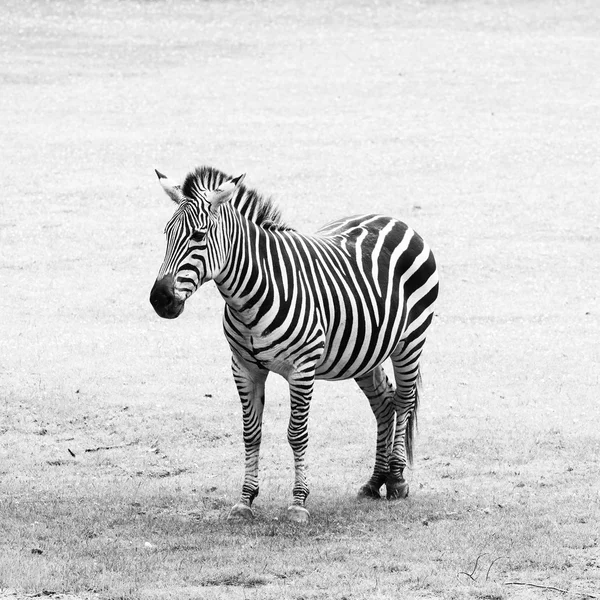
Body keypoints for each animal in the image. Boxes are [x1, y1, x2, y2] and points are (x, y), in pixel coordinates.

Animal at [150, 164, 440, 520]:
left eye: (199, 236)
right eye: (166, 234)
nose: (159, 299)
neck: (248, 296)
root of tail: (395, 220)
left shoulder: (302, 369)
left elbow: (297, 434)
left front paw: (298, 502)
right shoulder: (243, 367)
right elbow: (251, 433)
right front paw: (245, 500)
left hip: (411, 340)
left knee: (403, 400)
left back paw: (397, 479)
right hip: (365, 350)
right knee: (384, 403)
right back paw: (375, 480)